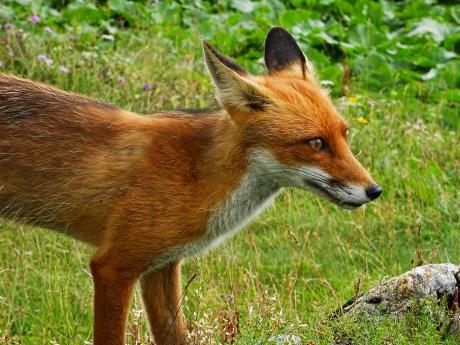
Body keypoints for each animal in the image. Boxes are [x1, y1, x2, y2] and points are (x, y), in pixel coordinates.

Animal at [0, 27, 380, 344]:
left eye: (344, 134)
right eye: (316, 143)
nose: (374, 190)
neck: (198, 175)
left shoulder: (162, 266)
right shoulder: (114, 265)